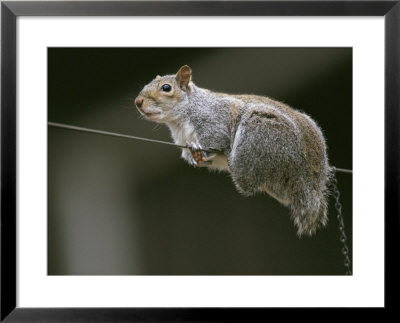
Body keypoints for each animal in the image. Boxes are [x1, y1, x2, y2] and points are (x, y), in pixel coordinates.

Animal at [136, 65, 332, 238]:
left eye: (166, 88)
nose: (138, 102)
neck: (179, 120)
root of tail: (310, 178)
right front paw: (194, 158)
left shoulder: (214, 122)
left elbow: (214, 140)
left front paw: (202, 152)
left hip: (259, 134)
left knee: (247, 185)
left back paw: (232, 158)